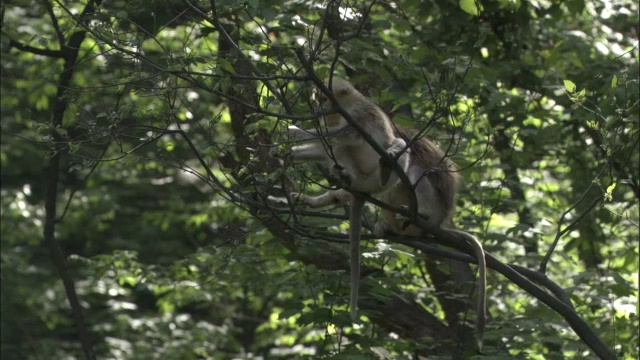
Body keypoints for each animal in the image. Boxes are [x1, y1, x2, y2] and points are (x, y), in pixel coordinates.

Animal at [286, 77, 410, 320]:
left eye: (323, 98)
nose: (318, 108)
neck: (353, 100)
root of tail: (363, 187)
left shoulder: (358, 114)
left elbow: (346, 134)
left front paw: (293, 130)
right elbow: (330, 142)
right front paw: (285, 150)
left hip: (376, 180)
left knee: (394, 148)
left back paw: (384, 168)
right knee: (335, 150)